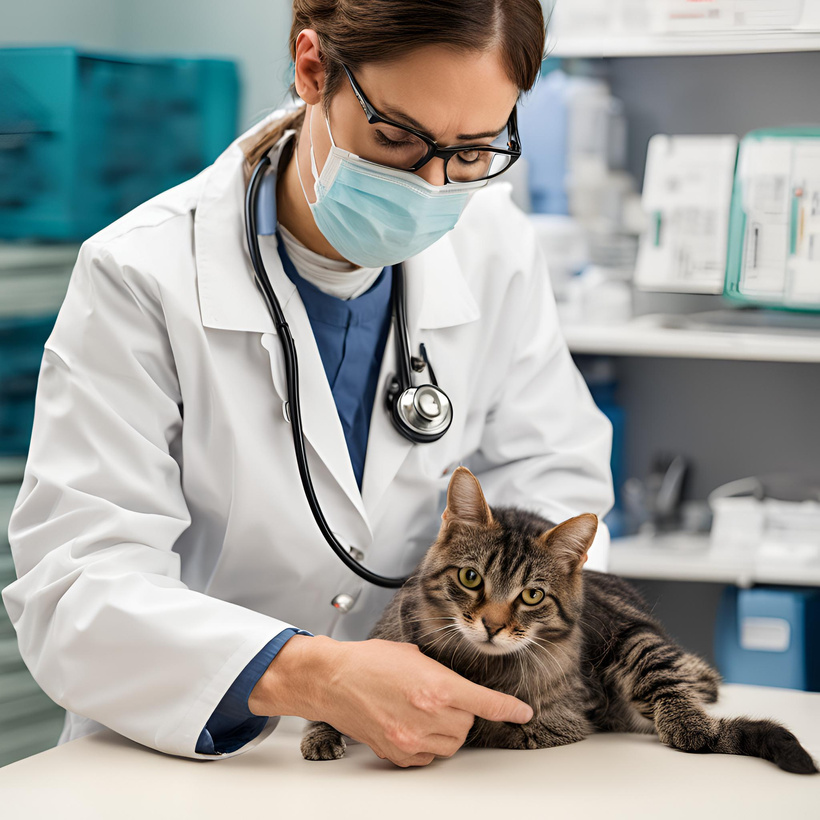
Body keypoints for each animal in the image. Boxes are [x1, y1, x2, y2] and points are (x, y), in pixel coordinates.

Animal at [302, 468, 820, 776]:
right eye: (471, 577)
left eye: (532, 595)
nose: (491, 625)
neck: (478, 667)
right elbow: (332, 700)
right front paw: (322, 734)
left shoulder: (564, 716)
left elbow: (509, 728)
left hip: (632, 637)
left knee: (676, 686)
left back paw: (691, 722)